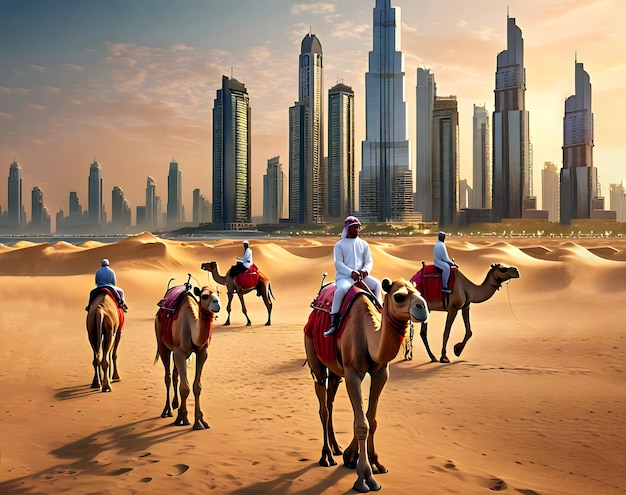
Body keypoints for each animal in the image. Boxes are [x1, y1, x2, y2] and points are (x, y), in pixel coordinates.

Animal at [154, 286, 221, 430]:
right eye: (204, 296)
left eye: (218, 294)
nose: (217, 304)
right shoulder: (179, 352)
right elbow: (185, 388)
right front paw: (183, 418)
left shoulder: (202, 353)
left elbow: (197, 387)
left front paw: (200, 422)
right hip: (162, 344)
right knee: (167, 377)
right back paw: (167, 410)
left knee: (175, 375)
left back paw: (175, 404)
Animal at [304, 280, 428, 492]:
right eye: (399, 296)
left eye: (420, 293)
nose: (423, 308)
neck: (368, 334)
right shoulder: (352, 373)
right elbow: (362, 423)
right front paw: (364, 477)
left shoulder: (381, 372)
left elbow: (371, 419)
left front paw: (369, 461)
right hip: (314, 354)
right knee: (323, 406)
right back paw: (326, 456)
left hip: (336, 371)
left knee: (330, 401)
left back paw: (337, 449)